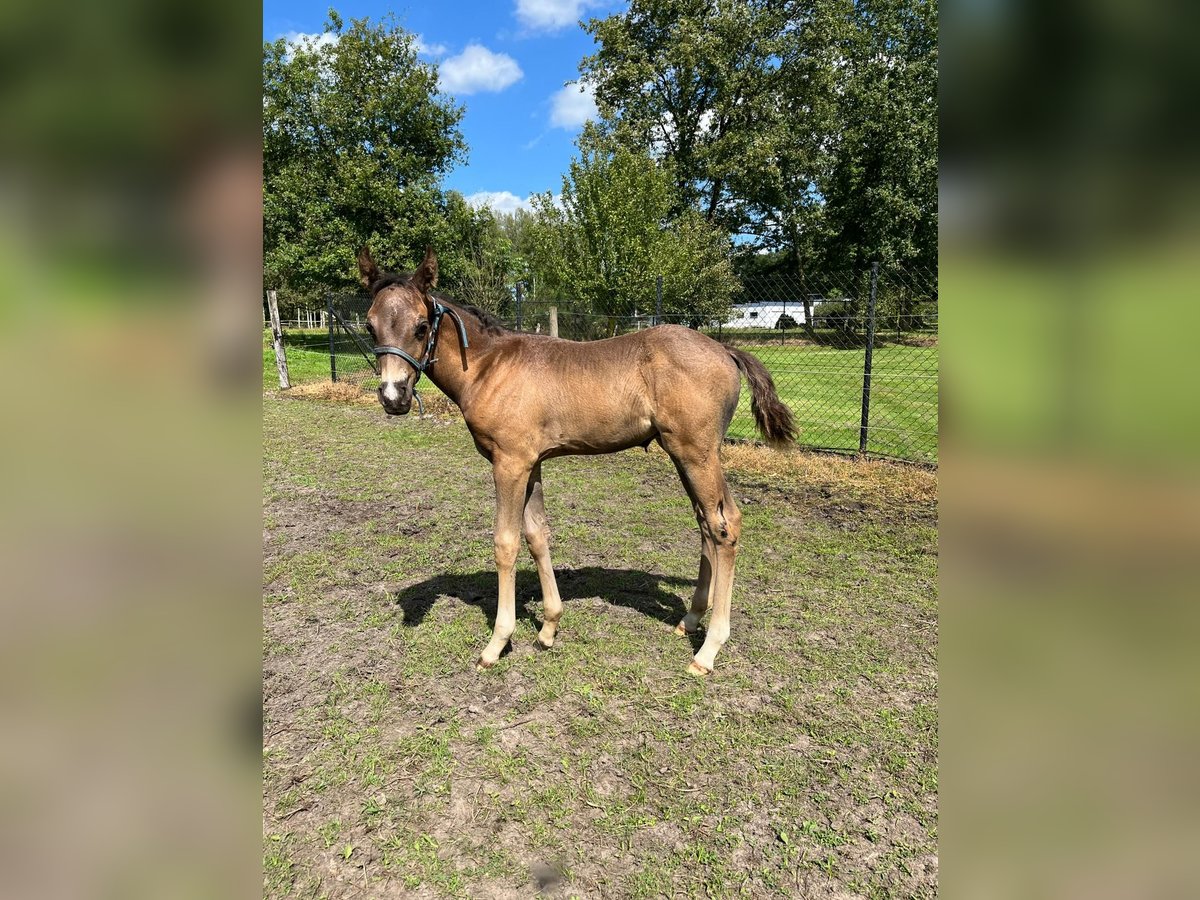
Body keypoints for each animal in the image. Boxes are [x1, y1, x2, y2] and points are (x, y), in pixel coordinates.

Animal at [357, 247, 796, 676]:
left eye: (420, 326)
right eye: (370, 326)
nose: (393, 397)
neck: (487, 367)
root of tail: (724, 349)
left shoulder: (509, 463)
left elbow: (506, 542)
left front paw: (497, 644)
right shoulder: (531, 463)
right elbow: (537, 535)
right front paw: (549, 628)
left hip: (698, 454)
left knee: (725, 526)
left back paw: (708, 650)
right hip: (684, 456)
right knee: (707, 524)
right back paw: (689, 620)